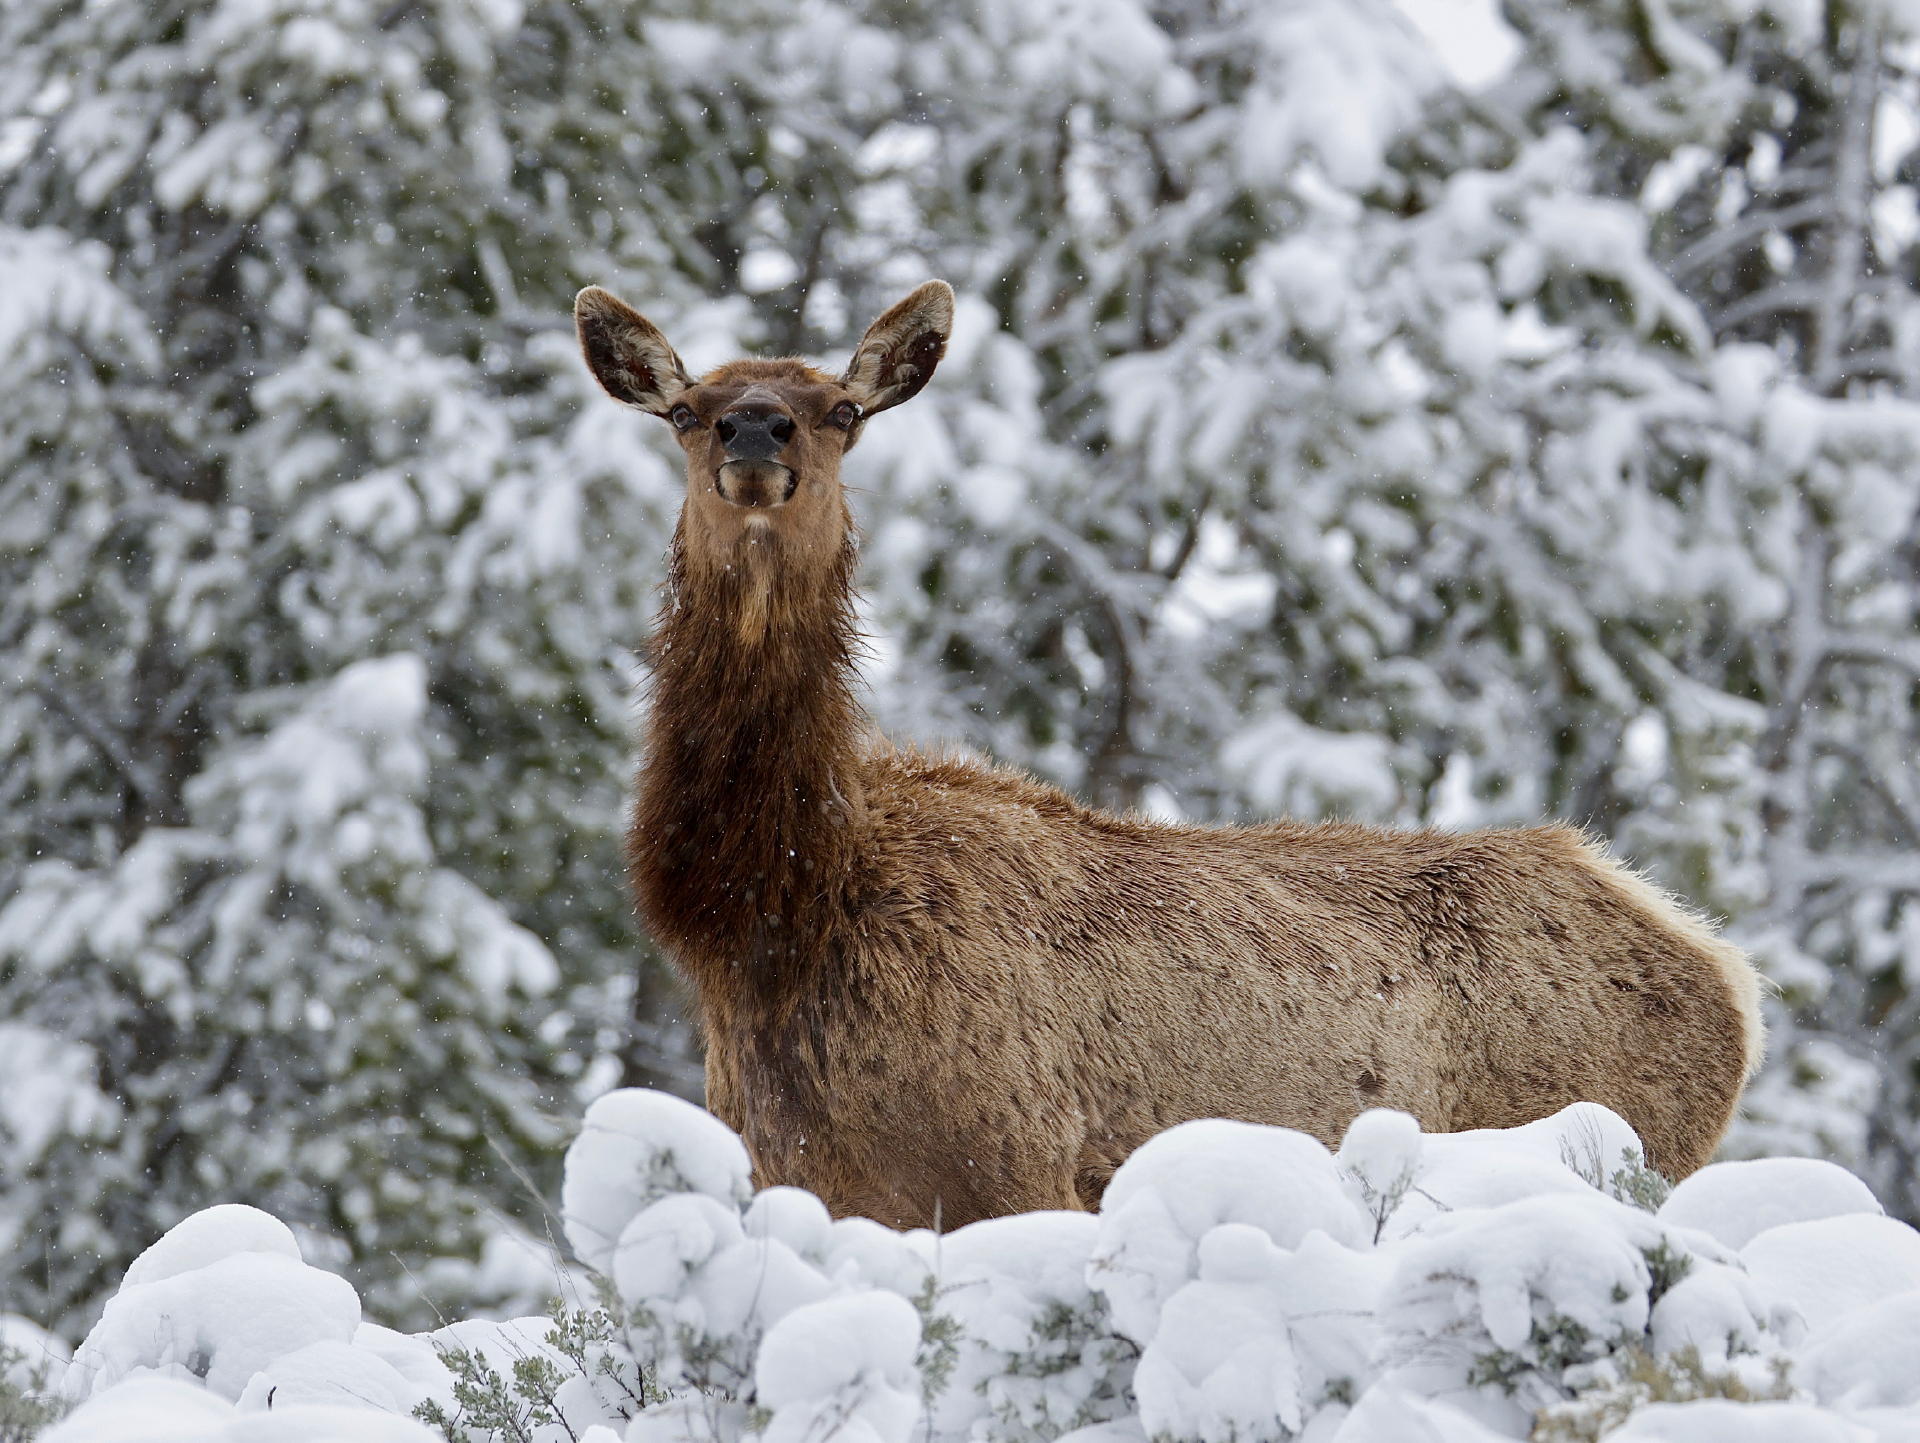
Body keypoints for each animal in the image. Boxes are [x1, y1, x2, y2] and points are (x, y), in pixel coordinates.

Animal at [574, 278, 1765, 1230]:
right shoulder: (801, 1169)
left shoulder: (1013, 1163)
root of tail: (1726, 976)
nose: (756, 431)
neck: (773, 923)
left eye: (843, 410)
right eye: (684, 410)